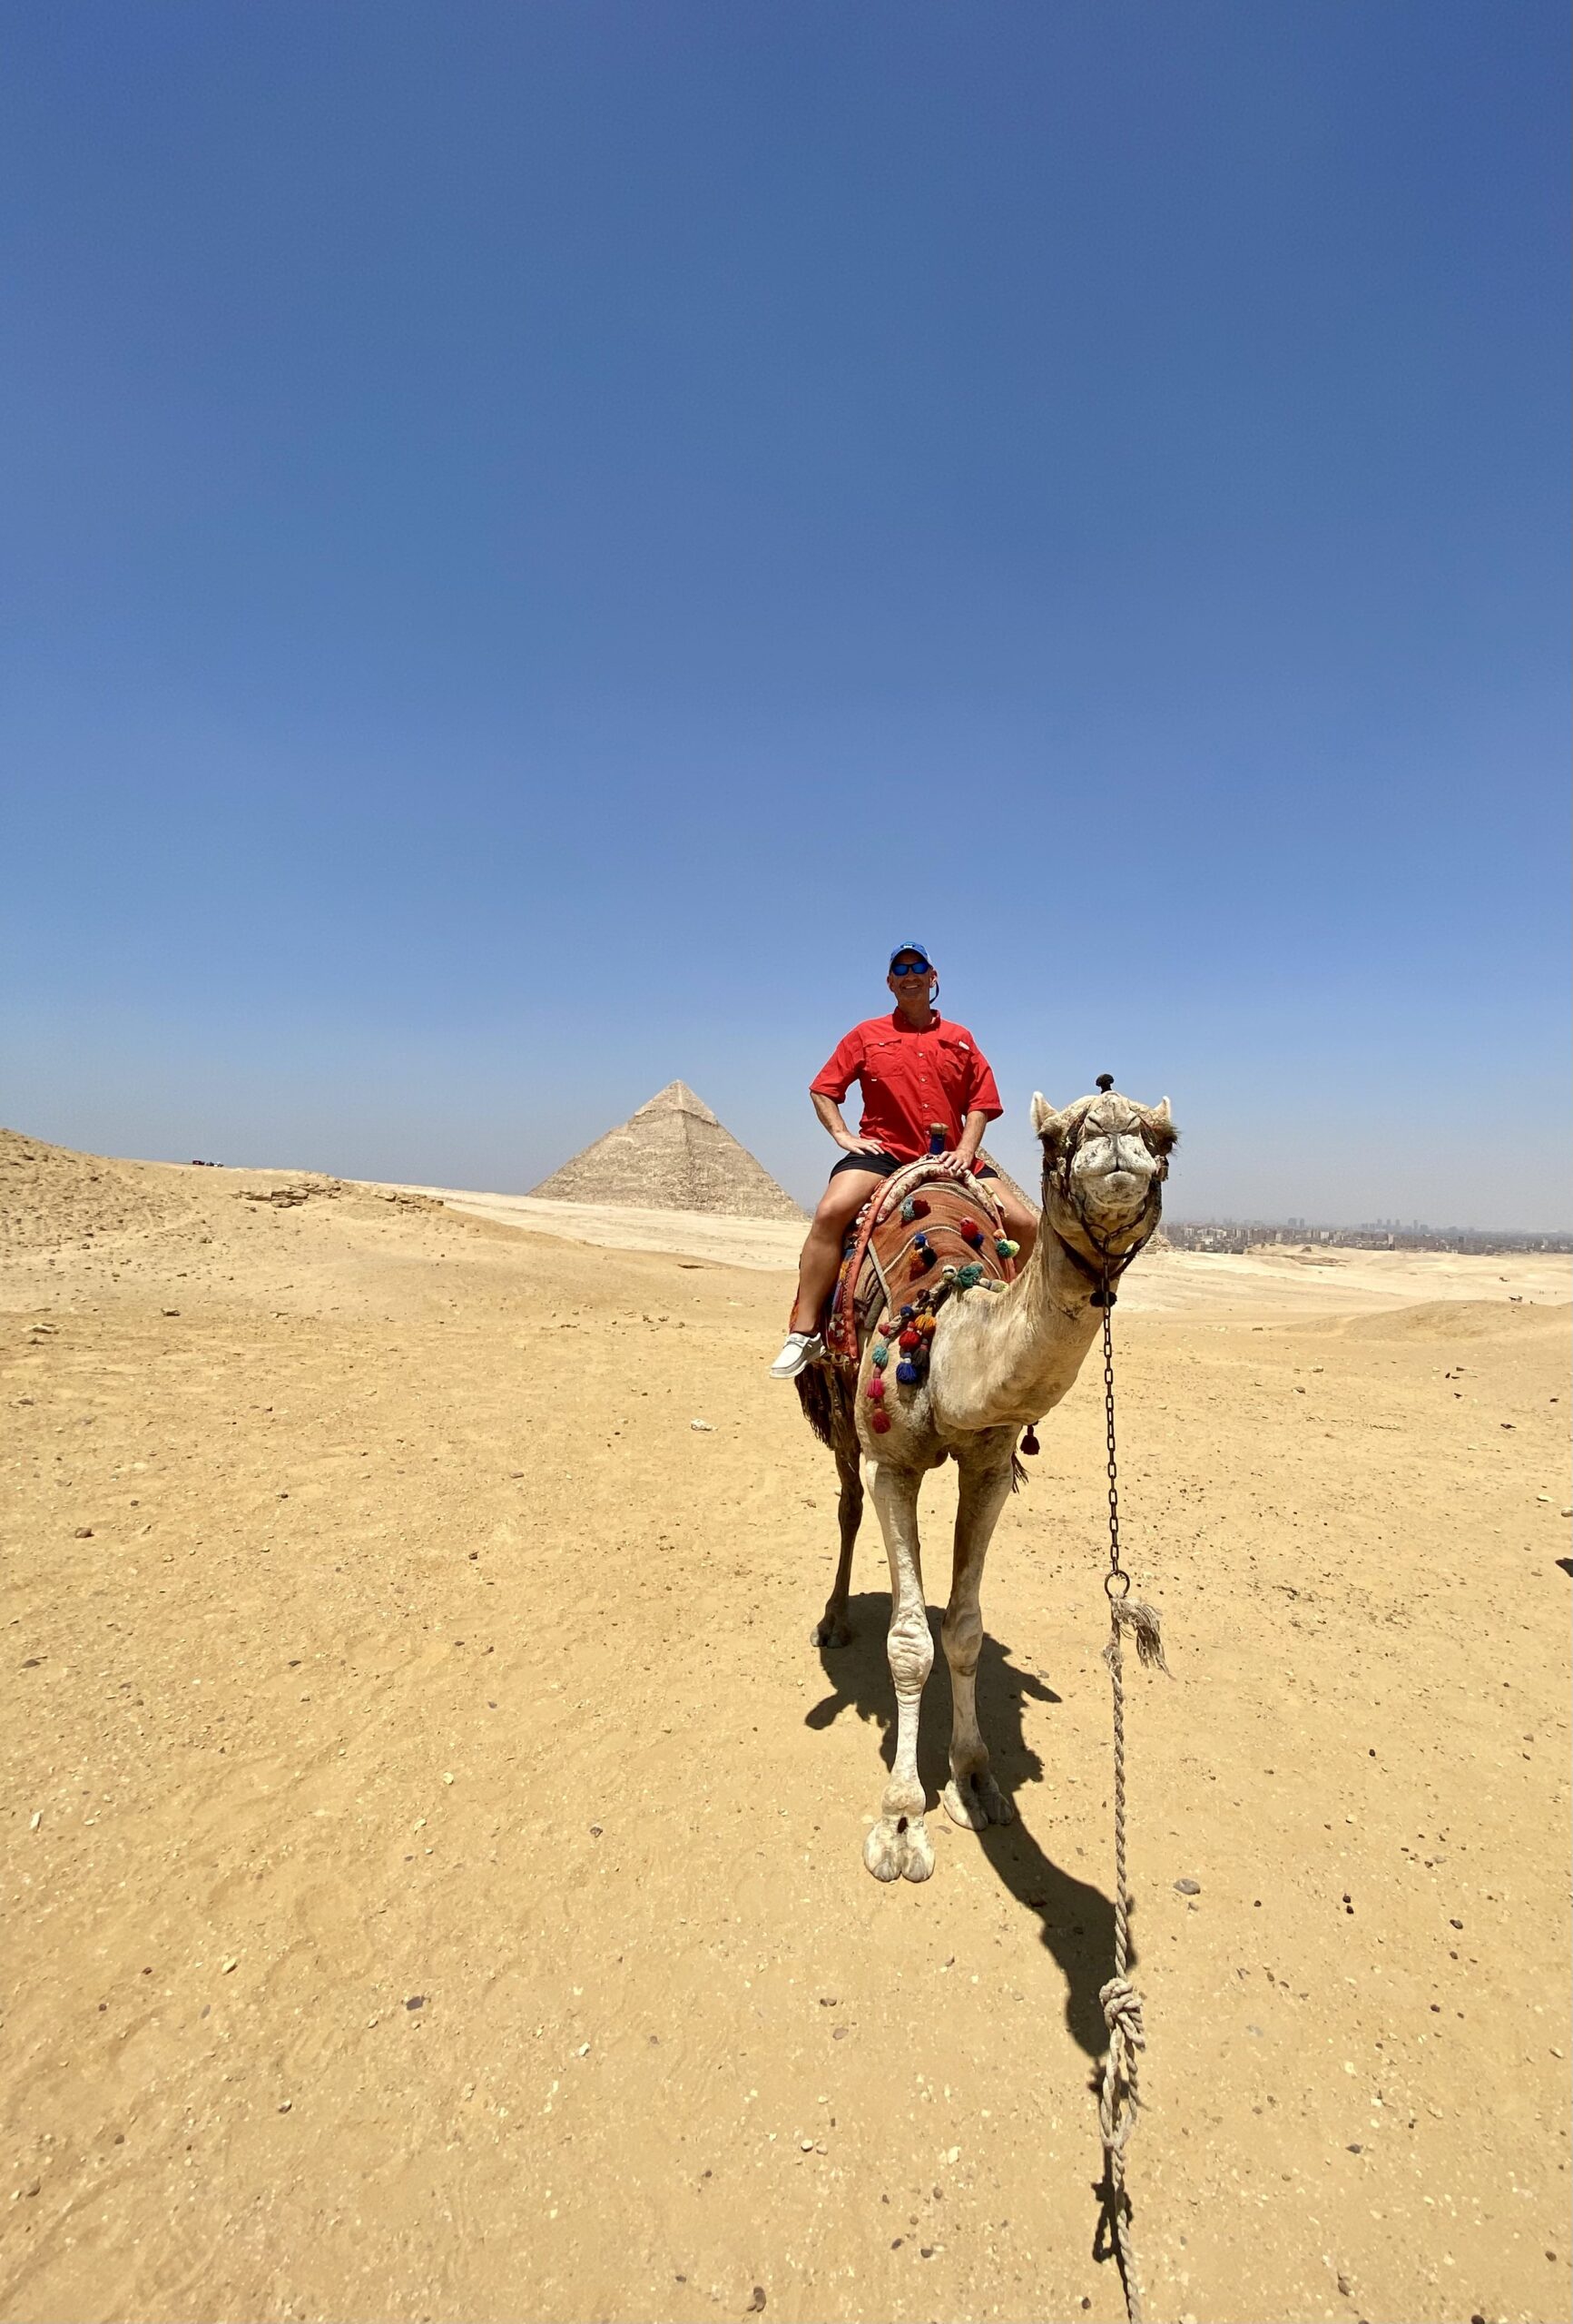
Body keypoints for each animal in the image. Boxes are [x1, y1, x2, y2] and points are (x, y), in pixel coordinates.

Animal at [790, 1078, 1171, 1877]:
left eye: (1165, 1138)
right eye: (1054, 1138)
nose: (1114, 1124)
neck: (942, 1336)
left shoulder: (990, 1466)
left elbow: (962, 1631)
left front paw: (972, 1781)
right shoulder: (892, 1466)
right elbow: (909, 1642)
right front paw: (902, 1821)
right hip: (838, 1412)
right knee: (845, 1504)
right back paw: (833, 1620)